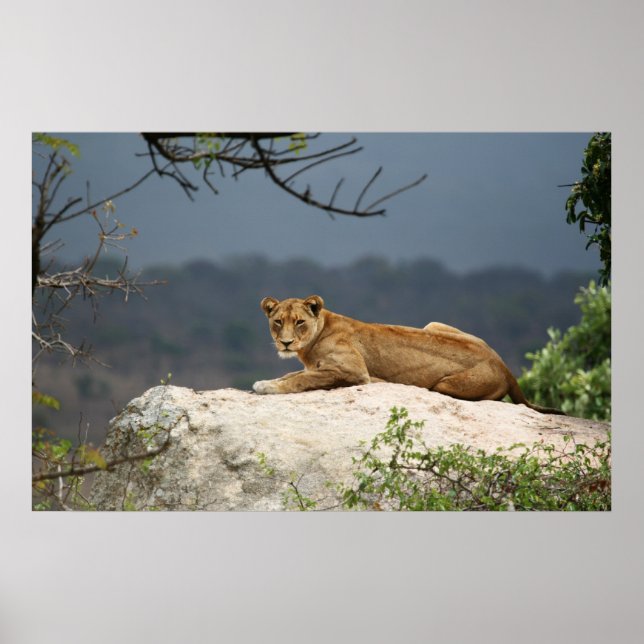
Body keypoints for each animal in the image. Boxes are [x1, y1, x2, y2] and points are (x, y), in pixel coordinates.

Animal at [252, 295, 564, 415]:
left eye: (299, 322)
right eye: (277, 321)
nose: (286, 343)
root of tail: (504, 365)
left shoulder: (353, 371)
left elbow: (300, 380)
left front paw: (269, 387)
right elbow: (293, 373)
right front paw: (267, 381)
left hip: (444, 385)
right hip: (433, 324)